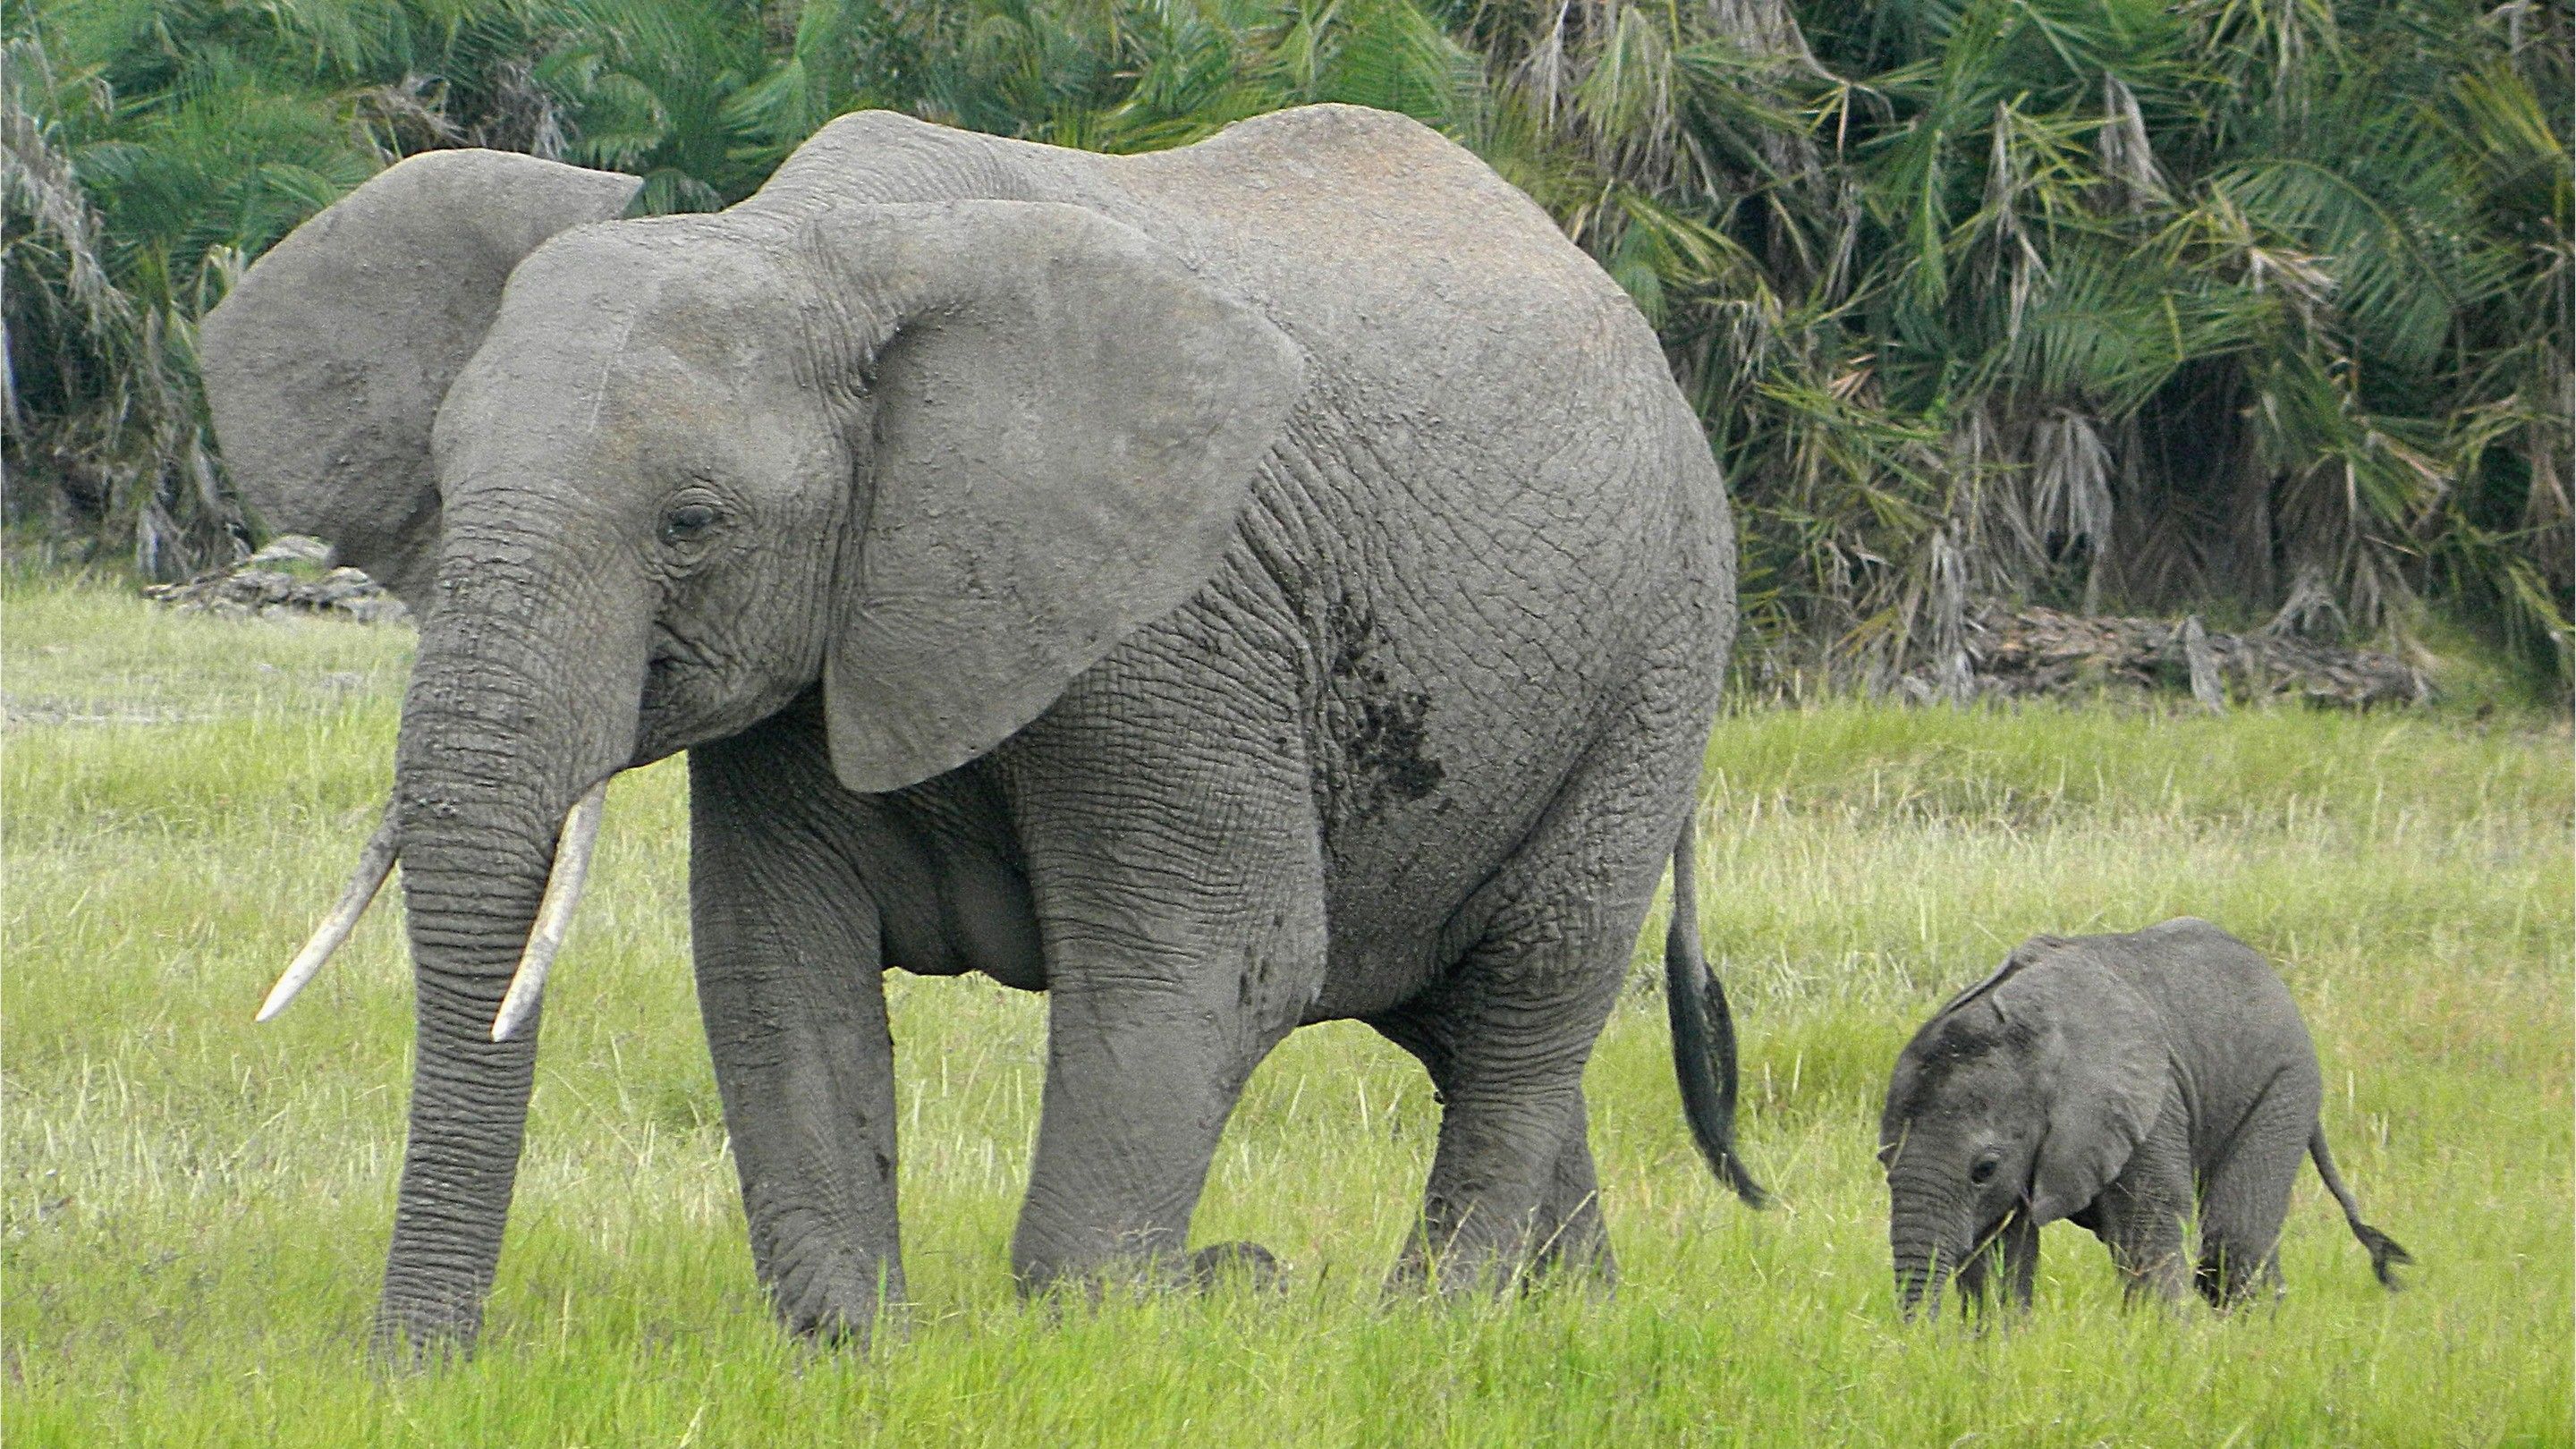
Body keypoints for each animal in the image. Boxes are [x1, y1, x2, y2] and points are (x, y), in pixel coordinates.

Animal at [197, 104, 1767, 1360]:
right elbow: (773, 963)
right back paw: (1565, 1319)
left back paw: (1430, 1324)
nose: (414, 1374)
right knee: (1470, 1022)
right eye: (444, 488)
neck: (812, 242)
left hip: (1661, 658)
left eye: (693, 525)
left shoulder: (1177, 626)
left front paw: (1159, 1310)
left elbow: (1219, 960)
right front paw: (860, 1351)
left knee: (1528, 996)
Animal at [1877, 918, 2411, 1318]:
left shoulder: (2146, 1104)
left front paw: (2163, 1347)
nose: (1922, 1349)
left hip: (2284, 1084)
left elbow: (2146, 1227)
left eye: (1983, 1169)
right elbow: (2000, 1250)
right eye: (1884, 1161)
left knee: (2232, 1241)